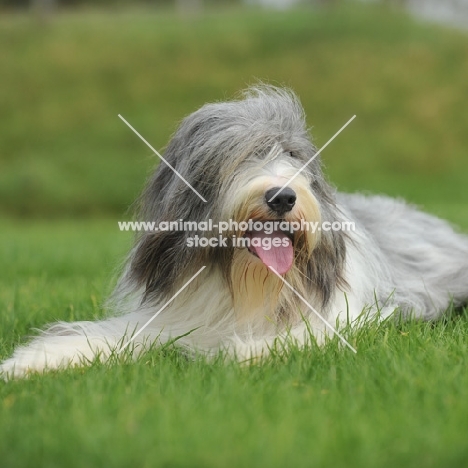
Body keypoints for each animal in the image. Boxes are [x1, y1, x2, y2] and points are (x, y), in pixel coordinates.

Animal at [0, 86, 468, 378]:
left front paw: (237, 352)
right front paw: (30, 362)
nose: (282, 196)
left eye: (292, 154)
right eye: (239, 156)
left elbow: (302, 335)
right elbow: (108, 336)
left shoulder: (350, 315)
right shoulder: (170, 315)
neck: (247, 281)